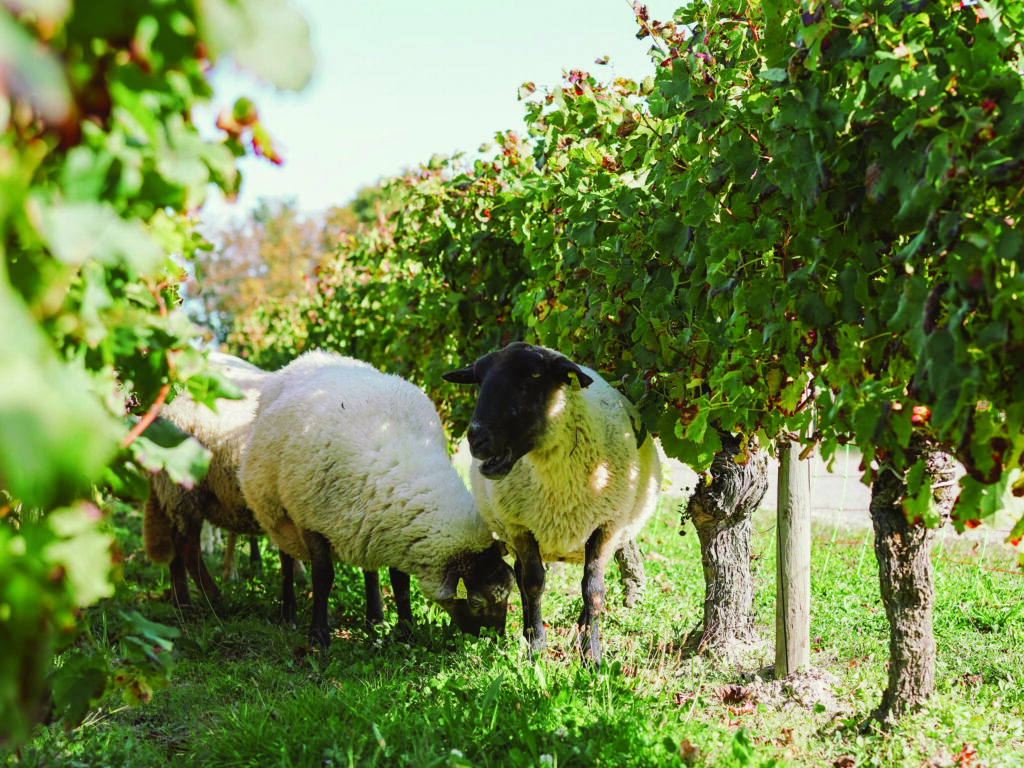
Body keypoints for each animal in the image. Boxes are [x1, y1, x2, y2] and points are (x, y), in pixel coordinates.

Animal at [238, 350, 515, 648]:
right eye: (476, 602)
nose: (496, 641)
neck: (401, 453)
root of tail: (312, 355)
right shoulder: (310, 522)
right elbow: (322, 578)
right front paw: (318, 636)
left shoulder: (394, 527)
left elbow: (400, 584)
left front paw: (406, 632)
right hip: (276, 510)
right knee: (286, 559)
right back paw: (287, 613)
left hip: (361, 524)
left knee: (368, 568)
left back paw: (375, 618)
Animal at [442, 342, 661, 667]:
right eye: (478, 379)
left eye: (534, 375)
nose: (477, 439)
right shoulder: (520, 527)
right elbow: (532, 583)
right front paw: (536, 649)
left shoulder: (607, 525)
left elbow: (594, 590)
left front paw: (592, 656)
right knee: (521, 576)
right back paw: (530, 633)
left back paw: (581, 633)